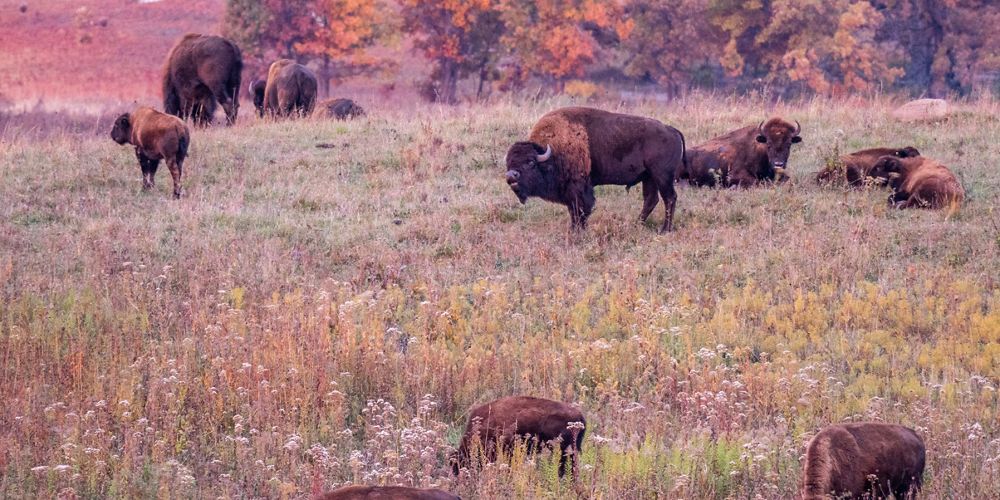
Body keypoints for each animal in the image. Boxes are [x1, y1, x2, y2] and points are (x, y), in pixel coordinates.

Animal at [504, 107, 686, 233]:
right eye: (509, 163)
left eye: (530, 162)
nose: (511, 176)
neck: (553, 151)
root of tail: (671, 130)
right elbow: (573, 210)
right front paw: (574, 229)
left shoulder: (579, 188)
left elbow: (581, 209)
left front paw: (578, 231)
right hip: (649, 177)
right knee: (651, 199)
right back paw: (637, 224)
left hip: (662, 176)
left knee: (669, 198)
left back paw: (665, 230)